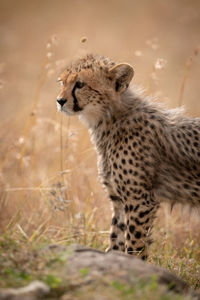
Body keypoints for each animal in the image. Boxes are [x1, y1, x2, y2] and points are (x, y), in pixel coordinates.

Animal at [56, 54, 200, 260]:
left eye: (80, 84)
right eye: (62, 82)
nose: (59, 101)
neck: (110, 119)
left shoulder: (140, 201)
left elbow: (134, 246)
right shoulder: (119, 201)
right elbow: (116, 241)